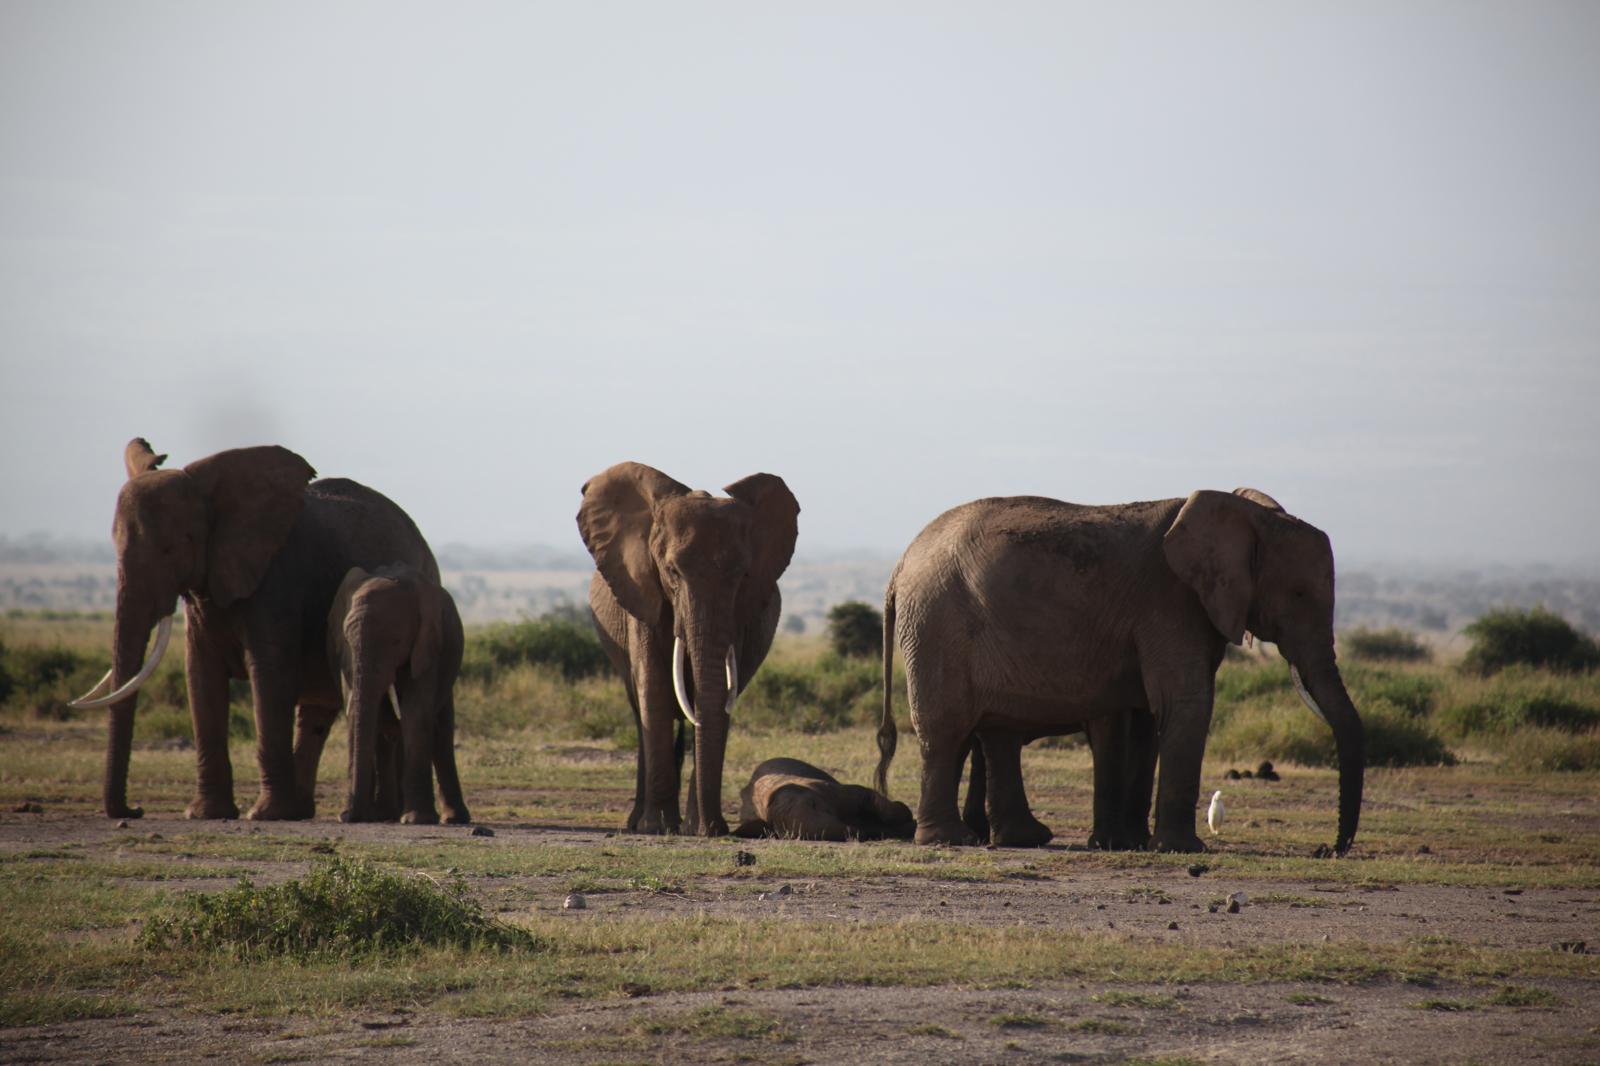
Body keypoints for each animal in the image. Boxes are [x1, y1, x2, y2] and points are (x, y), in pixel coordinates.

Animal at [69, 439, 437, 821]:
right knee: (317, 713)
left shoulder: (277, 579)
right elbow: (201, 676)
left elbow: (268, 675)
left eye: (171, 548)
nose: (135, 810)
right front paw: (207, 813)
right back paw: (302, 810)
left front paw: (264, 814)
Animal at [312, 564, 469, 825]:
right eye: (348, 640)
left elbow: (415, 713)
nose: (347, 816)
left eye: (396, 641)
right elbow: (356, 711)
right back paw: (382, 814)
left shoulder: (427, 646)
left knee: (441, 732)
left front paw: (417, 819)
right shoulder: (345, 657)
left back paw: (452, 818)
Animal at [578, 461, 799, 837]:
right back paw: (639, 823)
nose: (716, 830)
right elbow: (653, 689)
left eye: (742, 575)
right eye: (671, 571)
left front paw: (701, 829)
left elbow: (718, 695)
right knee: (640, 710)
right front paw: (658, 828)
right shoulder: (642, 593)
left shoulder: (740, 615)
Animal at [875, 487, 1363, 854]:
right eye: (1299, 593)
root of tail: (899, 566)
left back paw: (1019, 838)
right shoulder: (1169, 603)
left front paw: (1133, 843)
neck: (1247, 514)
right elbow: (1185, 703)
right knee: (948, 729)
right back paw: (952, 840)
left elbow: (1147, 714)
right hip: (938, 621)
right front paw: (1181, 850)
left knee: (991, 731)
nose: (1326, 849)